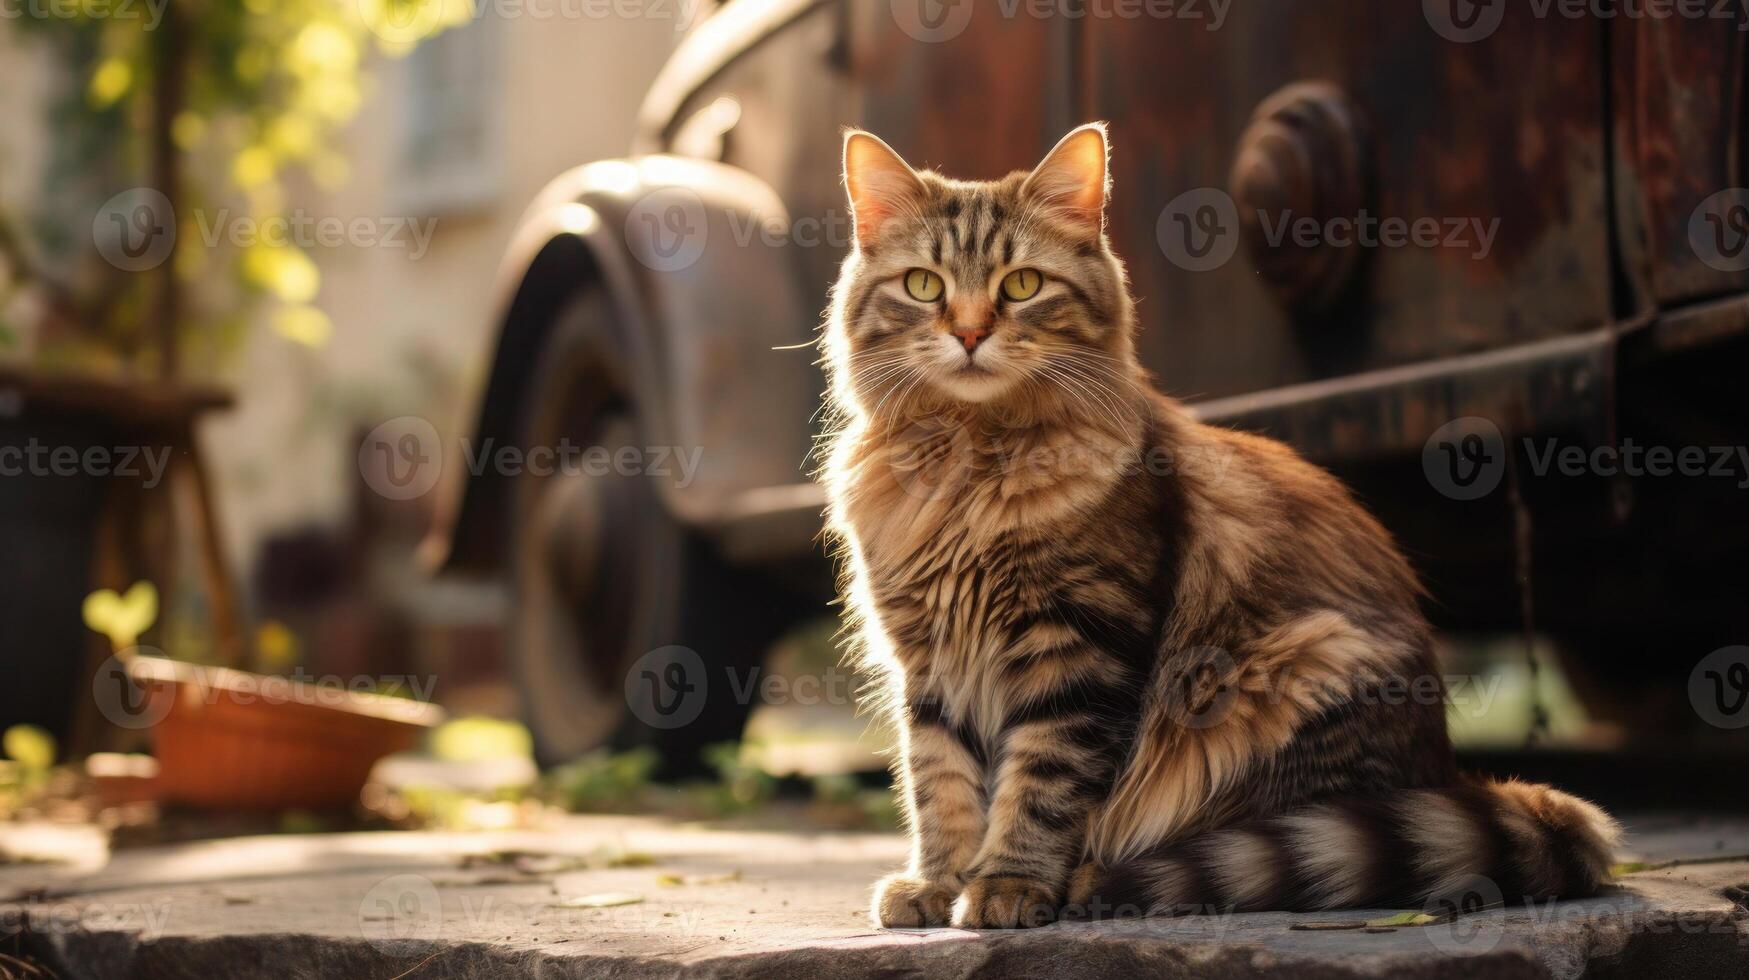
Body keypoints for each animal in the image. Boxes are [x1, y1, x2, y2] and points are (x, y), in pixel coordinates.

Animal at [815, 120, 1609, 924]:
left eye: (1022, 285)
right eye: (924, 286)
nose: (971, 334)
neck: (971, 461)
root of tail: (1445, 774)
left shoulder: (1078, 652)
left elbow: (1038, 788)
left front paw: (1008, 884)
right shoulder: (929, 660)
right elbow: (940, 783)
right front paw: (939, 883)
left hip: (1281, 683)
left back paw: (1109, 878)